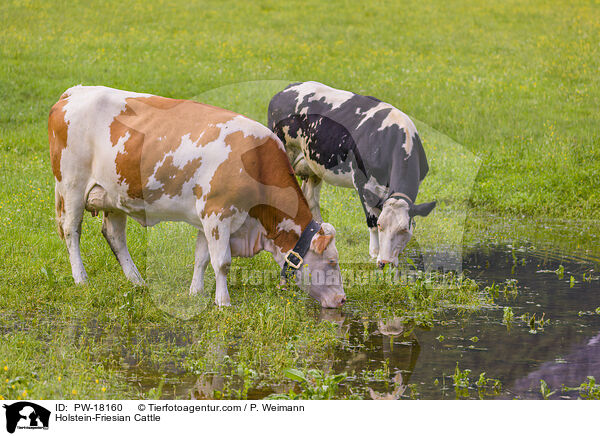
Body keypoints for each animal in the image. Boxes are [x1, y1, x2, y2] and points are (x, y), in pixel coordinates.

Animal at [48, 85, 344, 308]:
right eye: (332, 262)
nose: (342, 300)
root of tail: (74, 92)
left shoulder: (207, 217)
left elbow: (202, 257)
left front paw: (195, 292)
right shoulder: (217, 213)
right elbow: (221, 262)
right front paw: (223, 302)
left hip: (114, 195)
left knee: (115, 235)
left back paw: (137, 281)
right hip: (72, 186)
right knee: (71, 231)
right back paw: (81, 279)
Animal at [268, 80, 436, 268]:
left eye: (404, 229)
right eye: (381, 225)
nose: (385, 262)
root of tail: (288, 88)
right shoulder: (362, 182)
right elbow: (370, 219)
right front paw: (374, 252)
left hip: (312, 166)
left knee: (310, 199)